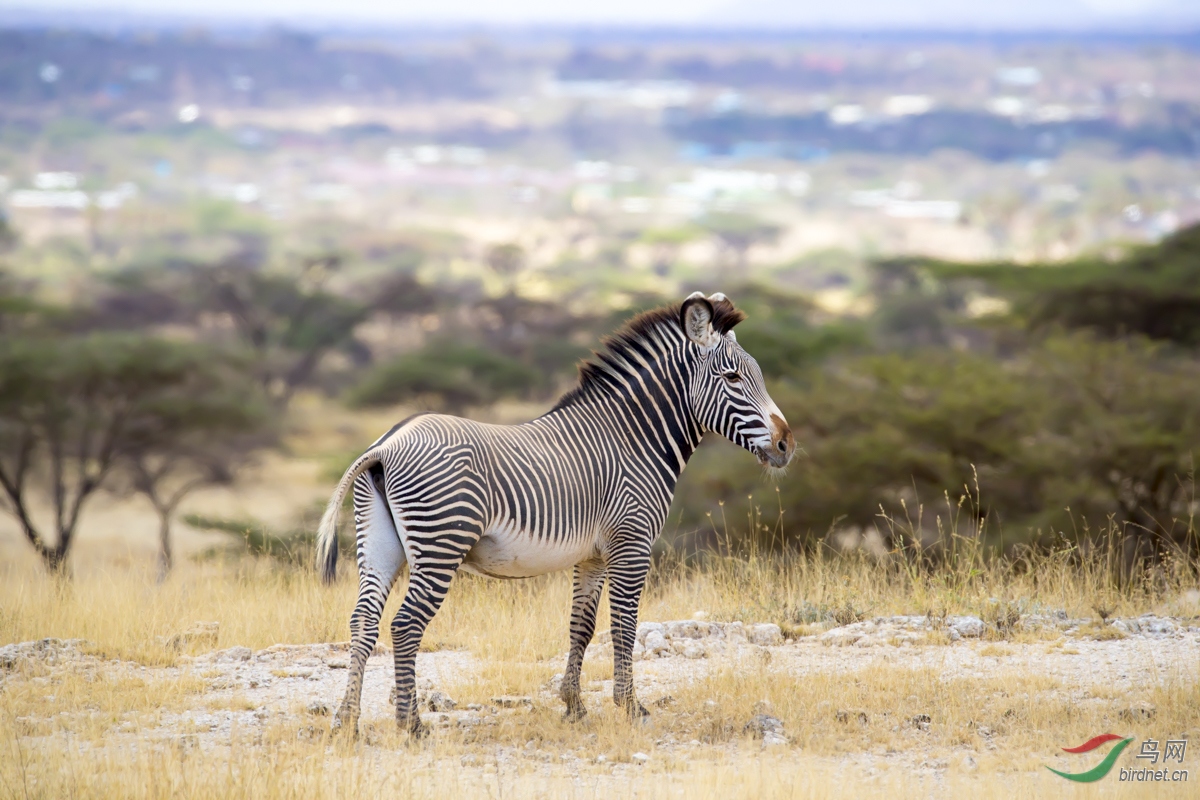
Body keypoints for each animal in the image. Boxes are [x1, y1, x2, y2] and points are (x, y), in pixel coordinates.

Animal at [316, 291, 796, 734]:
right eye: (733, 377)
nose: (786, 445)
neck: (632, 436)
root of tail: (386, 445)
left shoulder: (594, 555)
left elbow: (581, 627)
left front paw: (574, 706)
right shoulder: (632, 543)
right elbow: (624, 625)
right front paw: (630, 707)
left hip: (381, 545)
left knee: (363, 621)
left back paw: (347, 721)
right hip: (440, 544)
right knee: (405, 625)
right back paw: (411, 725)